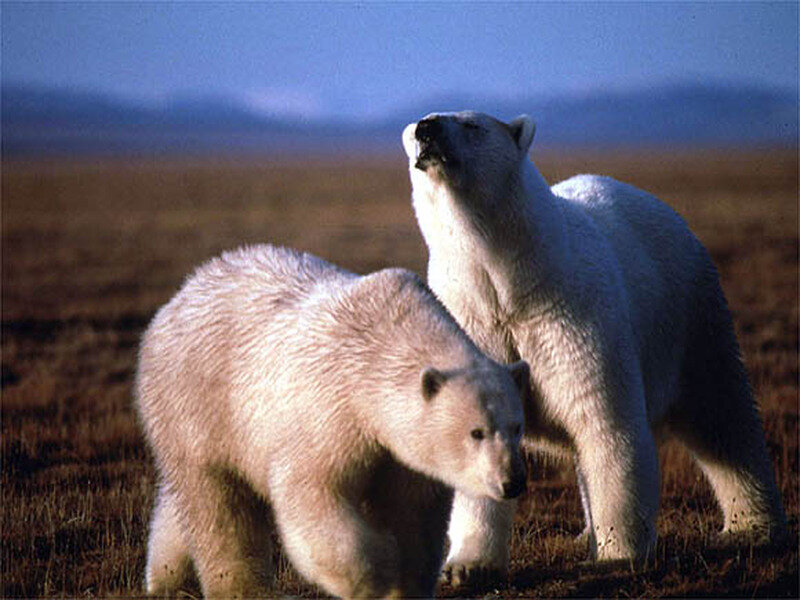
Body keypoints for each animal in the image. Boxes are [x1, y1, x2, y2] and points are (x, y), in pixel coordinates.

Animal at [135, 243, 531, 599]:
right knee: (219, 508)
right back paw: (241, 589)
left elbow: (413, 515)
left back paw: (167, 575)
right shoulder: (330, 409)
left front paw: (405, 585)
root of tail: (176, 299)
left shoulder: (402, 453)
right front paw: (378, 575)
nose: (512, 481)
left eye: (517, 427)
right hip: (199, 402)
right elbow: (313, 494)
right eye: (476, 432)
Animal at [401, 111, 787, 584]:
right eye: (415, 129)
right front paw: (466, 568)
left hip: (692, 311)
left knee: (721, 414)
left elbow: (606, 423)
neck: (508, 286)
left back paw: (749, 529)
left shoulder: (571, 315)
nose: (427, 129)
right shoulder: (471, 324)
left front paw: (618, 554)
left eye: (472, 125)